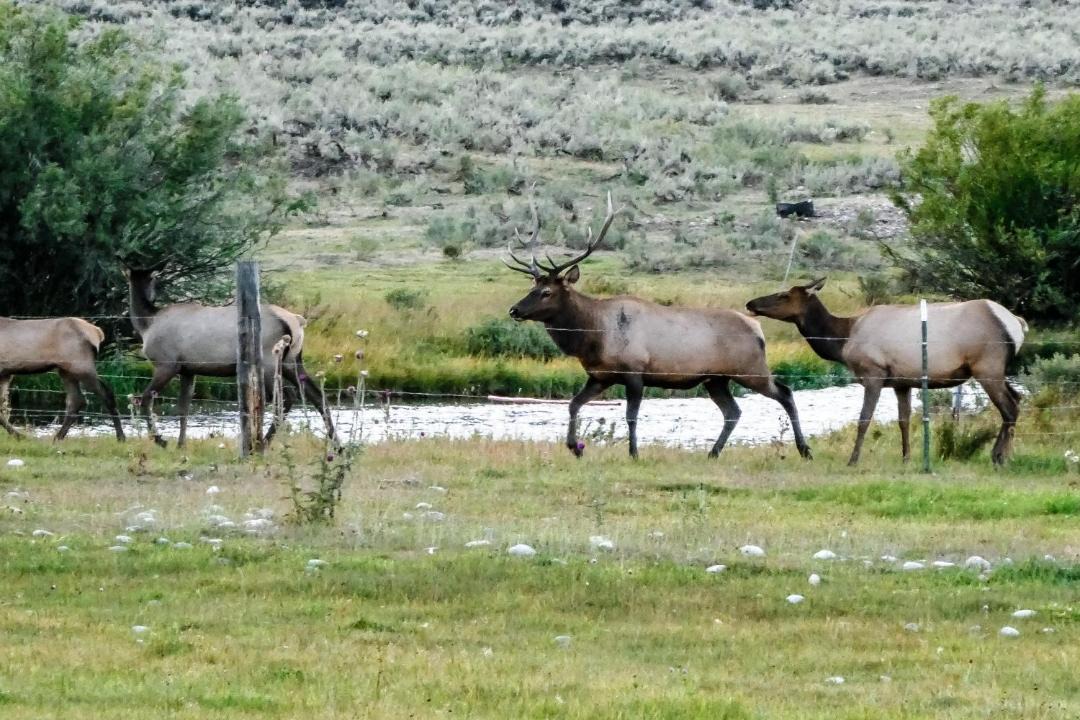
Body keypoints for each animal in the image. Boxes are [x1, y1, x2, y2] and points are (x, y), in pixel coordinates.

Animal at [126, 267, 335, 448]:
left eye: (151, 279)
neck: (147, 325)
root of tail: (297, 321)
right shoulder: (188, 370)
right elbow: (183, 408)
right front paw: (180, 444)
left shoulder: (167, 364)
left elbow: (145, 399)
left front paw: (161, 440)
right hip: (292, 361)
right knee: (317, 396)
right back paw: (336, 444)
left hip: (269, 361)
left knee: (286, 397)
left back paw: (263, 442)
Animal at [505, 194, 812, 461]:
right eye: (531, 287)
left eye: (546, 292)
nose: (514, 309)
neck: (593, 335)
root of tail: (758, 328)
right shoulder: (600, 375)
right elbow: (573, 404)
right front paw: (574, 447)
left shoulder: (634, 372)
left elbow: (631, 415)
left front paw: (633, 453)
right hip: (716, 379)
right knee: (733, 411)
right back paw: (713, 452)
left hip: (750, 369)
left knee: (785, 392)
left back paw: (804, 449)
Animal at [745, 278, 1026, 466]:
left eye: (784, 295)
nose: (751, 303)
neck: (842, 340)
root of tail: (1017, 324)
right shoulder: (903, 381)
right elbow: (904, 420)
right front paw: (906, 457)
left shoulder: (874, 374)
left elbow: (864, 419)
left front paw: (853, 459)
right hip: (996, 369)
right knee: (1017, 398)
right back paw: (1002, 453)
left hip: (987, 365)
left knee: (1009, 407)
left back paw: (1000, 457)